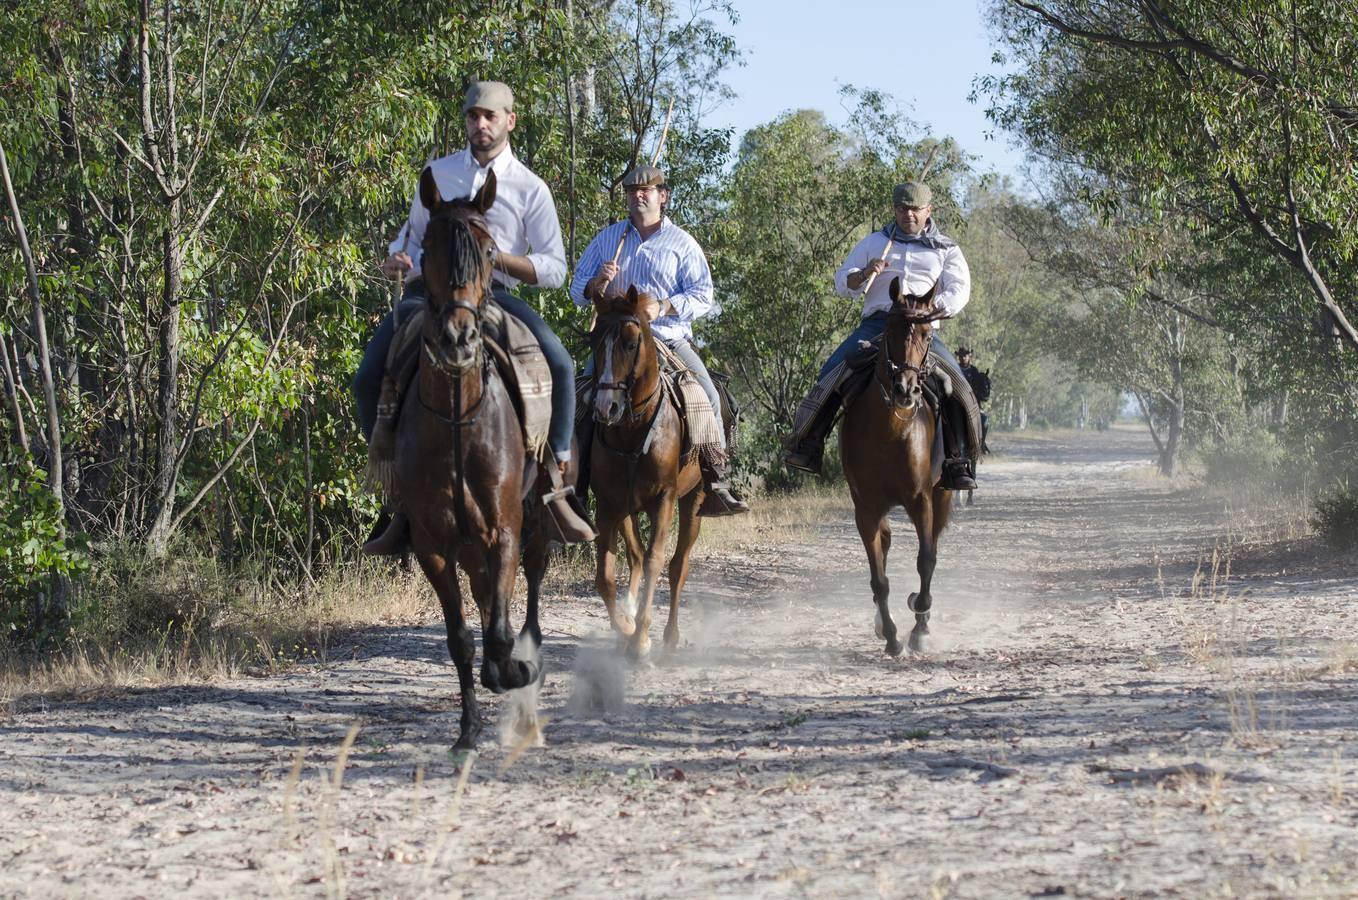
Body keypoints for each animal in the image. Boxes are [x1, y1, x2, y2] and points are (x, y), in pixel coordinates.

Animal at [396, 166, 554, 743]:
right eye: (424, 249)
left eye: (488, 251)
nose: (458, 340)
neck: (458, 422)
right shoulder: (434, 545)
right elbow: (461, 637)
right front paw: (467, 732)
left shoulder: (503, 530)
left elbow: (502, 631)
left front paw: (514, 672)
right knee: (487, 600)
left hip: (538, 522)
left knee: (529, 590)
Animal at [589, 289, 706, 662]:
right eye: (594, 341)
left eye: (630, 343)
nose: (605, 408)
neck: (632, 430)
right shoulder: (607, 504)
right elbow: (604, 577)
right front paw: (625, 628)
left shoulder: (663, 500)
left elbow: (657, 560)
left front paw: (640, 639)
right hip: (626, 508)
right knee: (636, 557)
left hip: (694, 499)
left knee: (678, 565)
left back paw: (670, 636)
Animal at [836, 276, 956, 654]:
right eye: (889, 329)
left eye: (927, 335)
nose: (906, 388)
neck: (891, 431)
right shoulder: (866, 507)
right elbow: (879, 577)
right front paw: (890, 634)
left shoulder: (921, 501)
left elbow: (926, 559)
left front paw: (919, 624)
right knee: (886, 544)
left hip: (943, 496)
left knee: (933, 545)